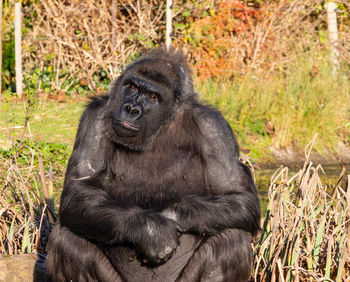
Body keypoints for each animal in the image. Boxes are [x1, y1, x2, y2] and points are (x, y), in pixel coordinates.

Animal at [45, 46, 260, 282]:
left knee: (230, 239)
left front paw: (171, 217)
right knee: (68, 240)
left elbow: (239, 197)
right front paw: (152, 231)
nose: (131, 109)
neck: (161, 125)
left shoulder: (214, 128)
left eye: (151, 96)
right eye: (131, 86)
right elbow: (79, 190)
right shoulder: (95, 117)